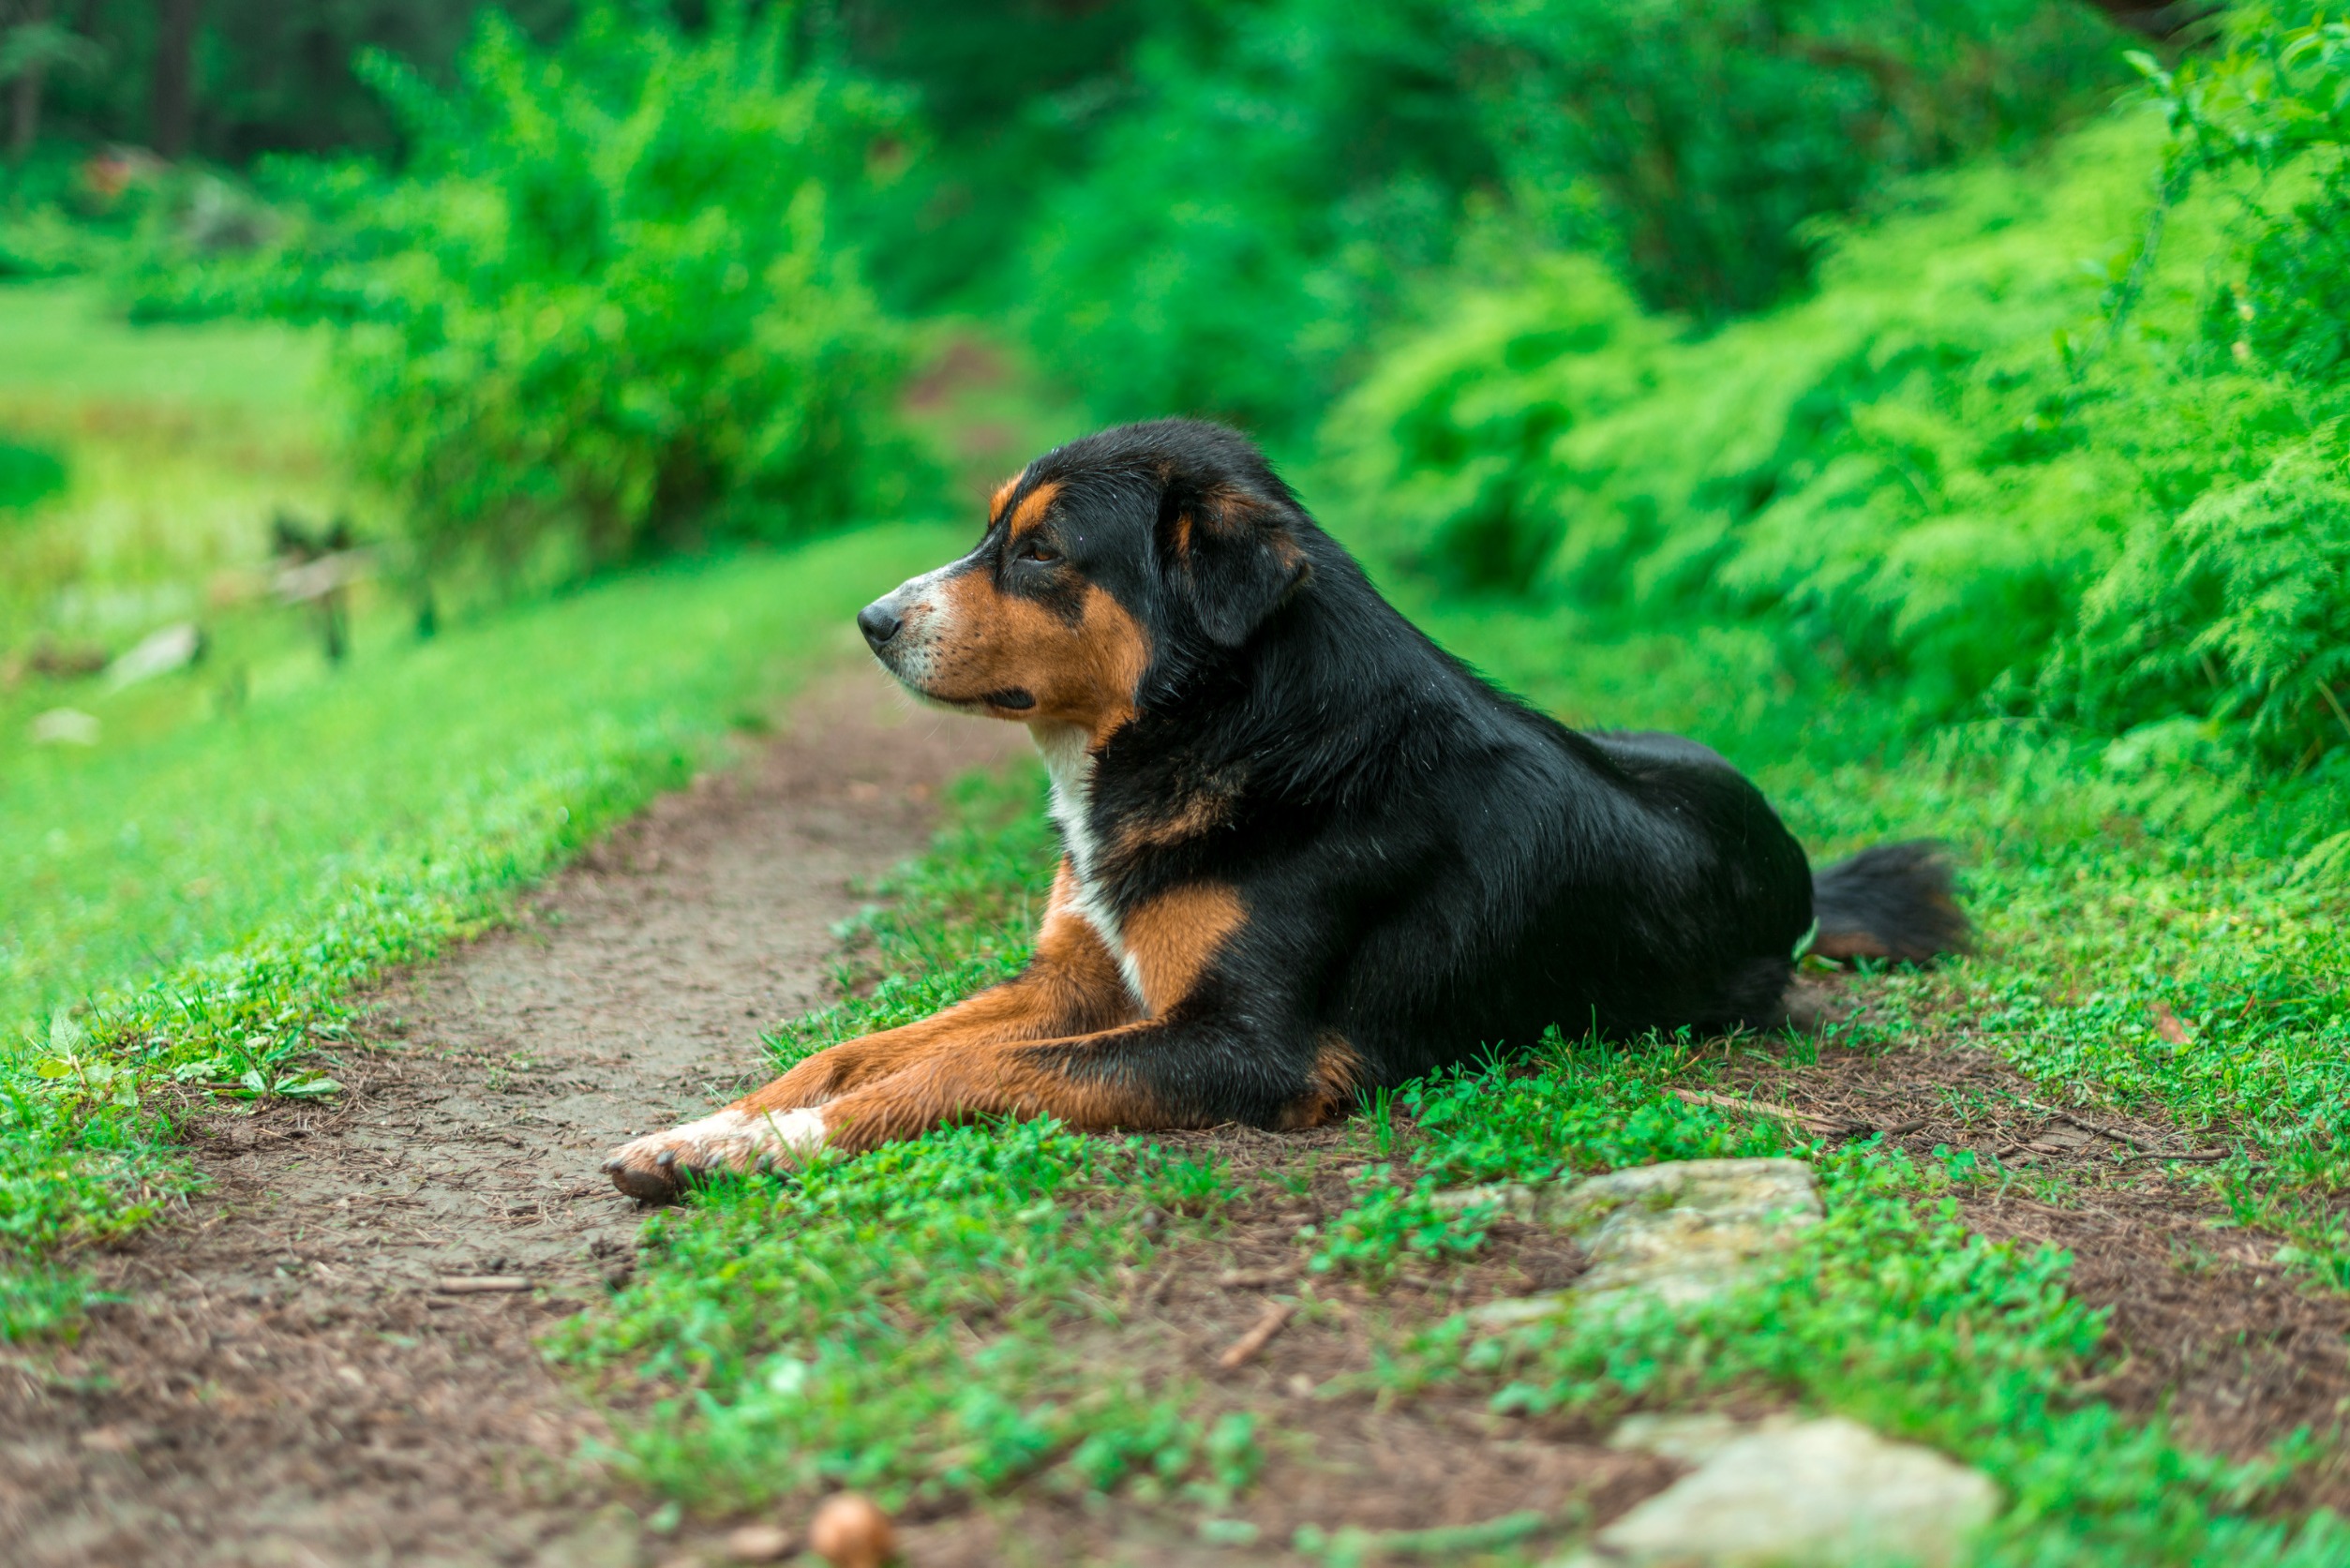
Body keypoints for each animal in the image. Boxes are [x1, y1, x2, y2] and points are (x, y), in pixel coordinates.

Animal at [606, 415, 1964, 1203]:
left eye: (1040, 553)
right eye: (992, 529)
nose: (872, 621)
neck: (1231, 729)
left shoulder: (1249, 1047)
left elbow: (947, 1072)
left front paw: (771, 1147)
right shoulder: (1072, 977)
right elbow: (856, 1047)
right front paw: (711, 1127)